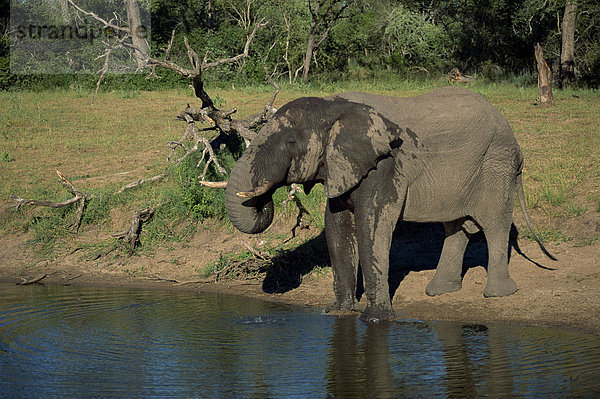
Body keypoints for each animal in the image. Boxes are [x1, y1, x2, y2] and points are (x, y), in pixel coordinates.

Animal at [225, 86, 552, 322]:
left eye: (291, 142)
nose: (263, 200)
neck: (332, 105)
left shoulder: (385, 162)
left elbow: (371, 226)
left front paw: (375, 319)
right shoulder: (342, 164)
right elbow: (337, 227)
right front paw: (339, 311)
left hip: (496, 164)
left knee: (494, 225)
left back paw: (497, 295)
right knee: (455, 227)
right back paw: (438, 292)